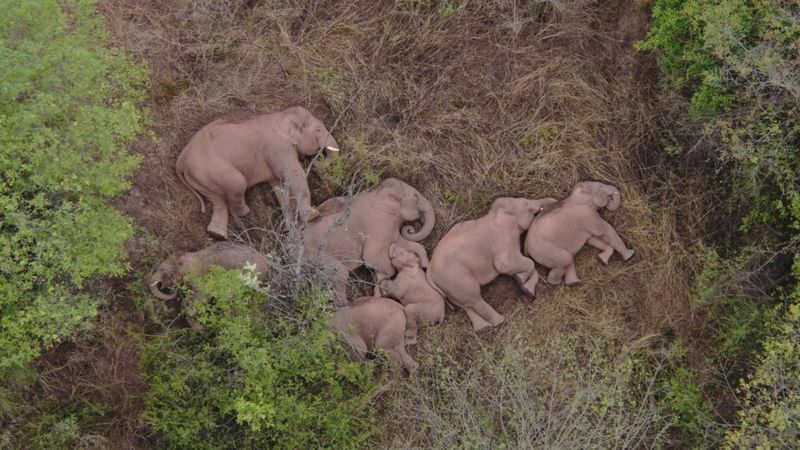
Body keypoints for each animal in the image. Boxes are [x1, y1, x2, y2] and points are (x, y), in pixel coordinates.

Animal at [177, 105, 340, 239]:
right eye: (318, 130)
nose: (317, 161)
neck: (282, 114)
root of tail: (181, 158)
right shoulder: (278, 147)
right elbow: (294, 174)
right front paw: (313, 215)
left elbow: (279, 186)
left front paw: (289, 230)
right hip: (212, 170)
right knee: (238, 184)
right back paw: (244, 212)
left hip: (202, 177)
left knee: (217, 200)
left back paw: (217, 234)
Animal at [304, 178, 434, 306]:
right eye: (416, 197)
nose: (411, 229)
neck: (377, 192)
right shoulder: (377, 223)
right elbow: (371, 257)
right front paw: (382, 287)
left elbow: (402, 243)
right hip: (318, 255)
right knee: (341, 273)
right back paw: (347, 304)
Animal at [424, 199, 556, 332]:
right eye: (525, 203)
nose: (554, 202)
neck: (494, 215)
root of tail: (429, 272)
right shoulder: (503, 240)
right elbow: (508, 264)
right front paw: (521, 280)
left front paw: (524, 285)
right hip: (456, 278)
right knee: (474, 298)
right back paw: (500, 321)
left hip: (448, 286)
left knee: (465, 304)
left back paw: (483, 328)